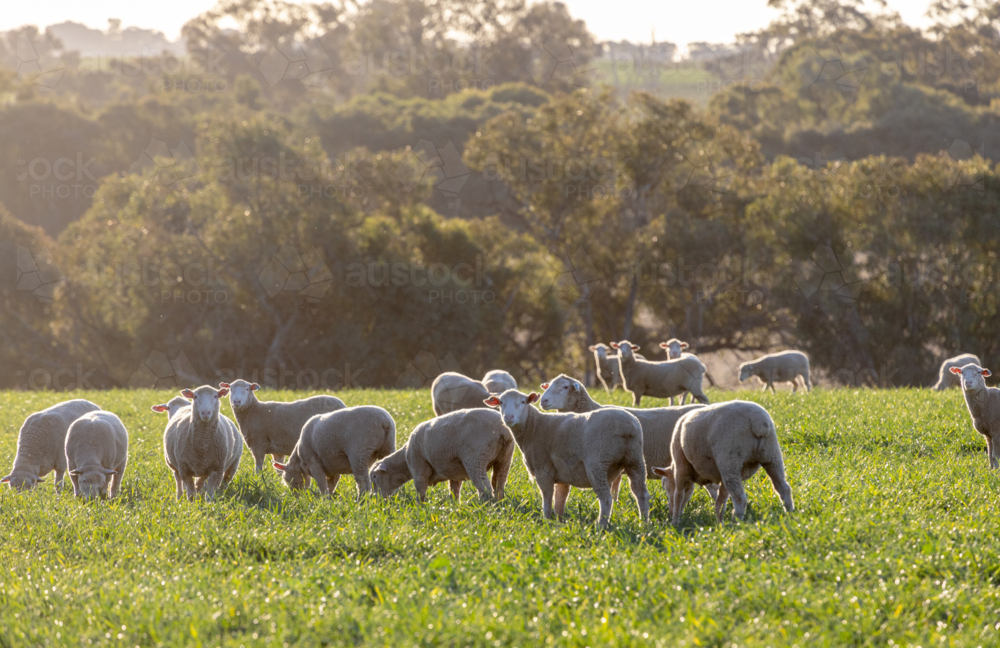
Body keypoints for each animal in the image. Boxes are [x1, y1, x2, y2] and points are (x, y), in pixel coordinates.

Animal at [370, 408, 513, 503]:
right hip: (505, 459)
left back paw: (485, 505)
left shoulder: (419, 467)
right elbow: (454, 490)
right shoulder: (454, 472)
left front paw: (420, 507)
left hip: (476, 459)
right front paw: (454, 506)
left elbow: (420, 489)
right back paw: (499, 503)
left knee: (485, 488)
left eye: (374, 476)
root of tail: (502, 429)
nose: (374, 500)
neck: (404, 460)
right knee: (499, 485)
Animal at [486, 389, 649, 528]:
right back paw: (644, 524)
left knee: (606, 499)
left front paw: (546, 522)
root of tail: (627, 427)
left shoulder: (543, 471)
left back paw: (601, 527)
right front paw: (559, 524)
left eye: (522, 402)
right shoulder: (562, 475)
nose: (508, 417)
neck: (533, 426)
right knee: (641, 495)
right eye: (501, 402)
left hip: (598, 464)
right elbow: (559, 503)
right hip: (635, 461)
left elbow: (547, 500)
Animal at [652, 400, 794, 525]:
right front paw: (719, 525)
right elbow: (720, 502)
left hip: (730, 459)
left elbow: (678, 496)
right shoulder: (721, 477)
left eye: (665, 486)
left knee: (740, 498)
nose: (670, 512)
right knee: (784, 488)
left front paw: (675, 522)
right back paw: (790, 515)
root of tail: (757, 420)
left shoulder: (680, 465)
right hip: (772, 455)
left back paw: (736, 524)